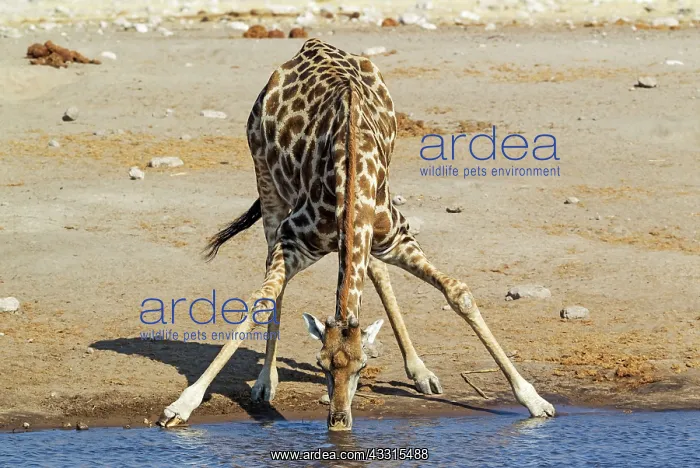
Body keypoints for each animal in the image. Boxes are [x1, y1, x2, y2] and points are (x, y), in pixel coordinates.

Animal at [157, 38, 555, 431]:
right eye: (321, 363)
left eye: (362, 365)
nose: (338, 422)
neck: (352, 175)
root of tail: (310, 44)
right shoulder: (292, 240)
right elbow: (262, 300)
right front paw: (181, 405)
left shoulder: (396, 237)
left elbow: (457, 291)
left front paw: (534, 400)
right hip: (268, 186)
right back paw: (265, 382)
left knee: (375, 271)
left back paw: (420, 371)